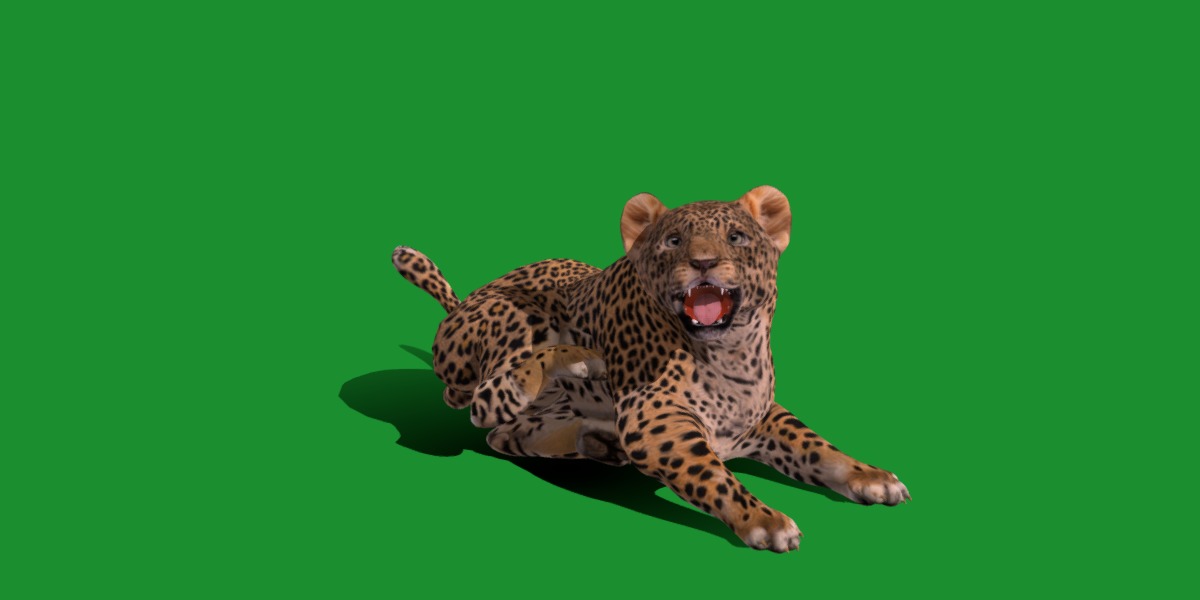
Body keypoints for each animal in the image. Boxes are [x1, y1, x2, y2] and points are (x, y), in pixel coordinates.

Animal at [392, 186, 910, 552]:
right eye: (673, 241)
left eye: (736, 237)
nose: (703, 262)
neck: (732, 354)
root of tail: (463, 304)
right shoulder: (655, 420)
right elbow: (713, 474)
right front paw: (763, 519)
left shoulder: (761, 416)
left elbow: (818, 447)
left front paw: (870, 476)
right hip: (518, 319)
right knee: (484, 401)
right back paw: (580, 362)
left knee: (503, 434)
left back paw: (595, 441)